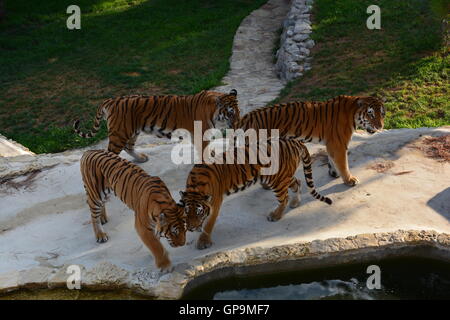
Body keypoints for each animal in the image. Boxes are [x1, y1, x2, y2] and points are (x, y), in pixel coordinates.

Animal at [75, 89, 241, 162]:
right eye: (231, 113)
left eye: (238, 112)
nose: (238, 124)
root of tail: (110, 100)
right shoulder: (201, 135)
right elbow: (206, 151)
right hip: (119, 133)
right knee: (110, 153)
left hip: (131, 131)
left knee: (128, 147)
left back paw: (141, 158)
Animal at [178, 138, 330, 250]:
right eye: (187, 211)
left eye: (199, 212)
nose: (191, 228)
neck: (195, 188)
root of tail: (295, 141)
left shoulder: (215, 202)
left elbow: (209, 223)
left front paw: (203, 241)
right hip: (284, 176)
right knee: (297, 182)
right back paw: (295, 202)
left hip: (276, 180)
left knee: (284, 198)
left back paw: (275, 215)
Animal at [237, 94, 384, 186]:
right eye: (370, 114)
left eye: (382, 114)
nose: (380, 126)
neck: (352, 112)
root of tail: (244, 118)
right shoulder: (338, 144)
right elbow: (343, 164)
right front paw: (349, 180)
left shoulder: (332, 143)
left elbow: (332, 160)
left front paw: (334, 173)